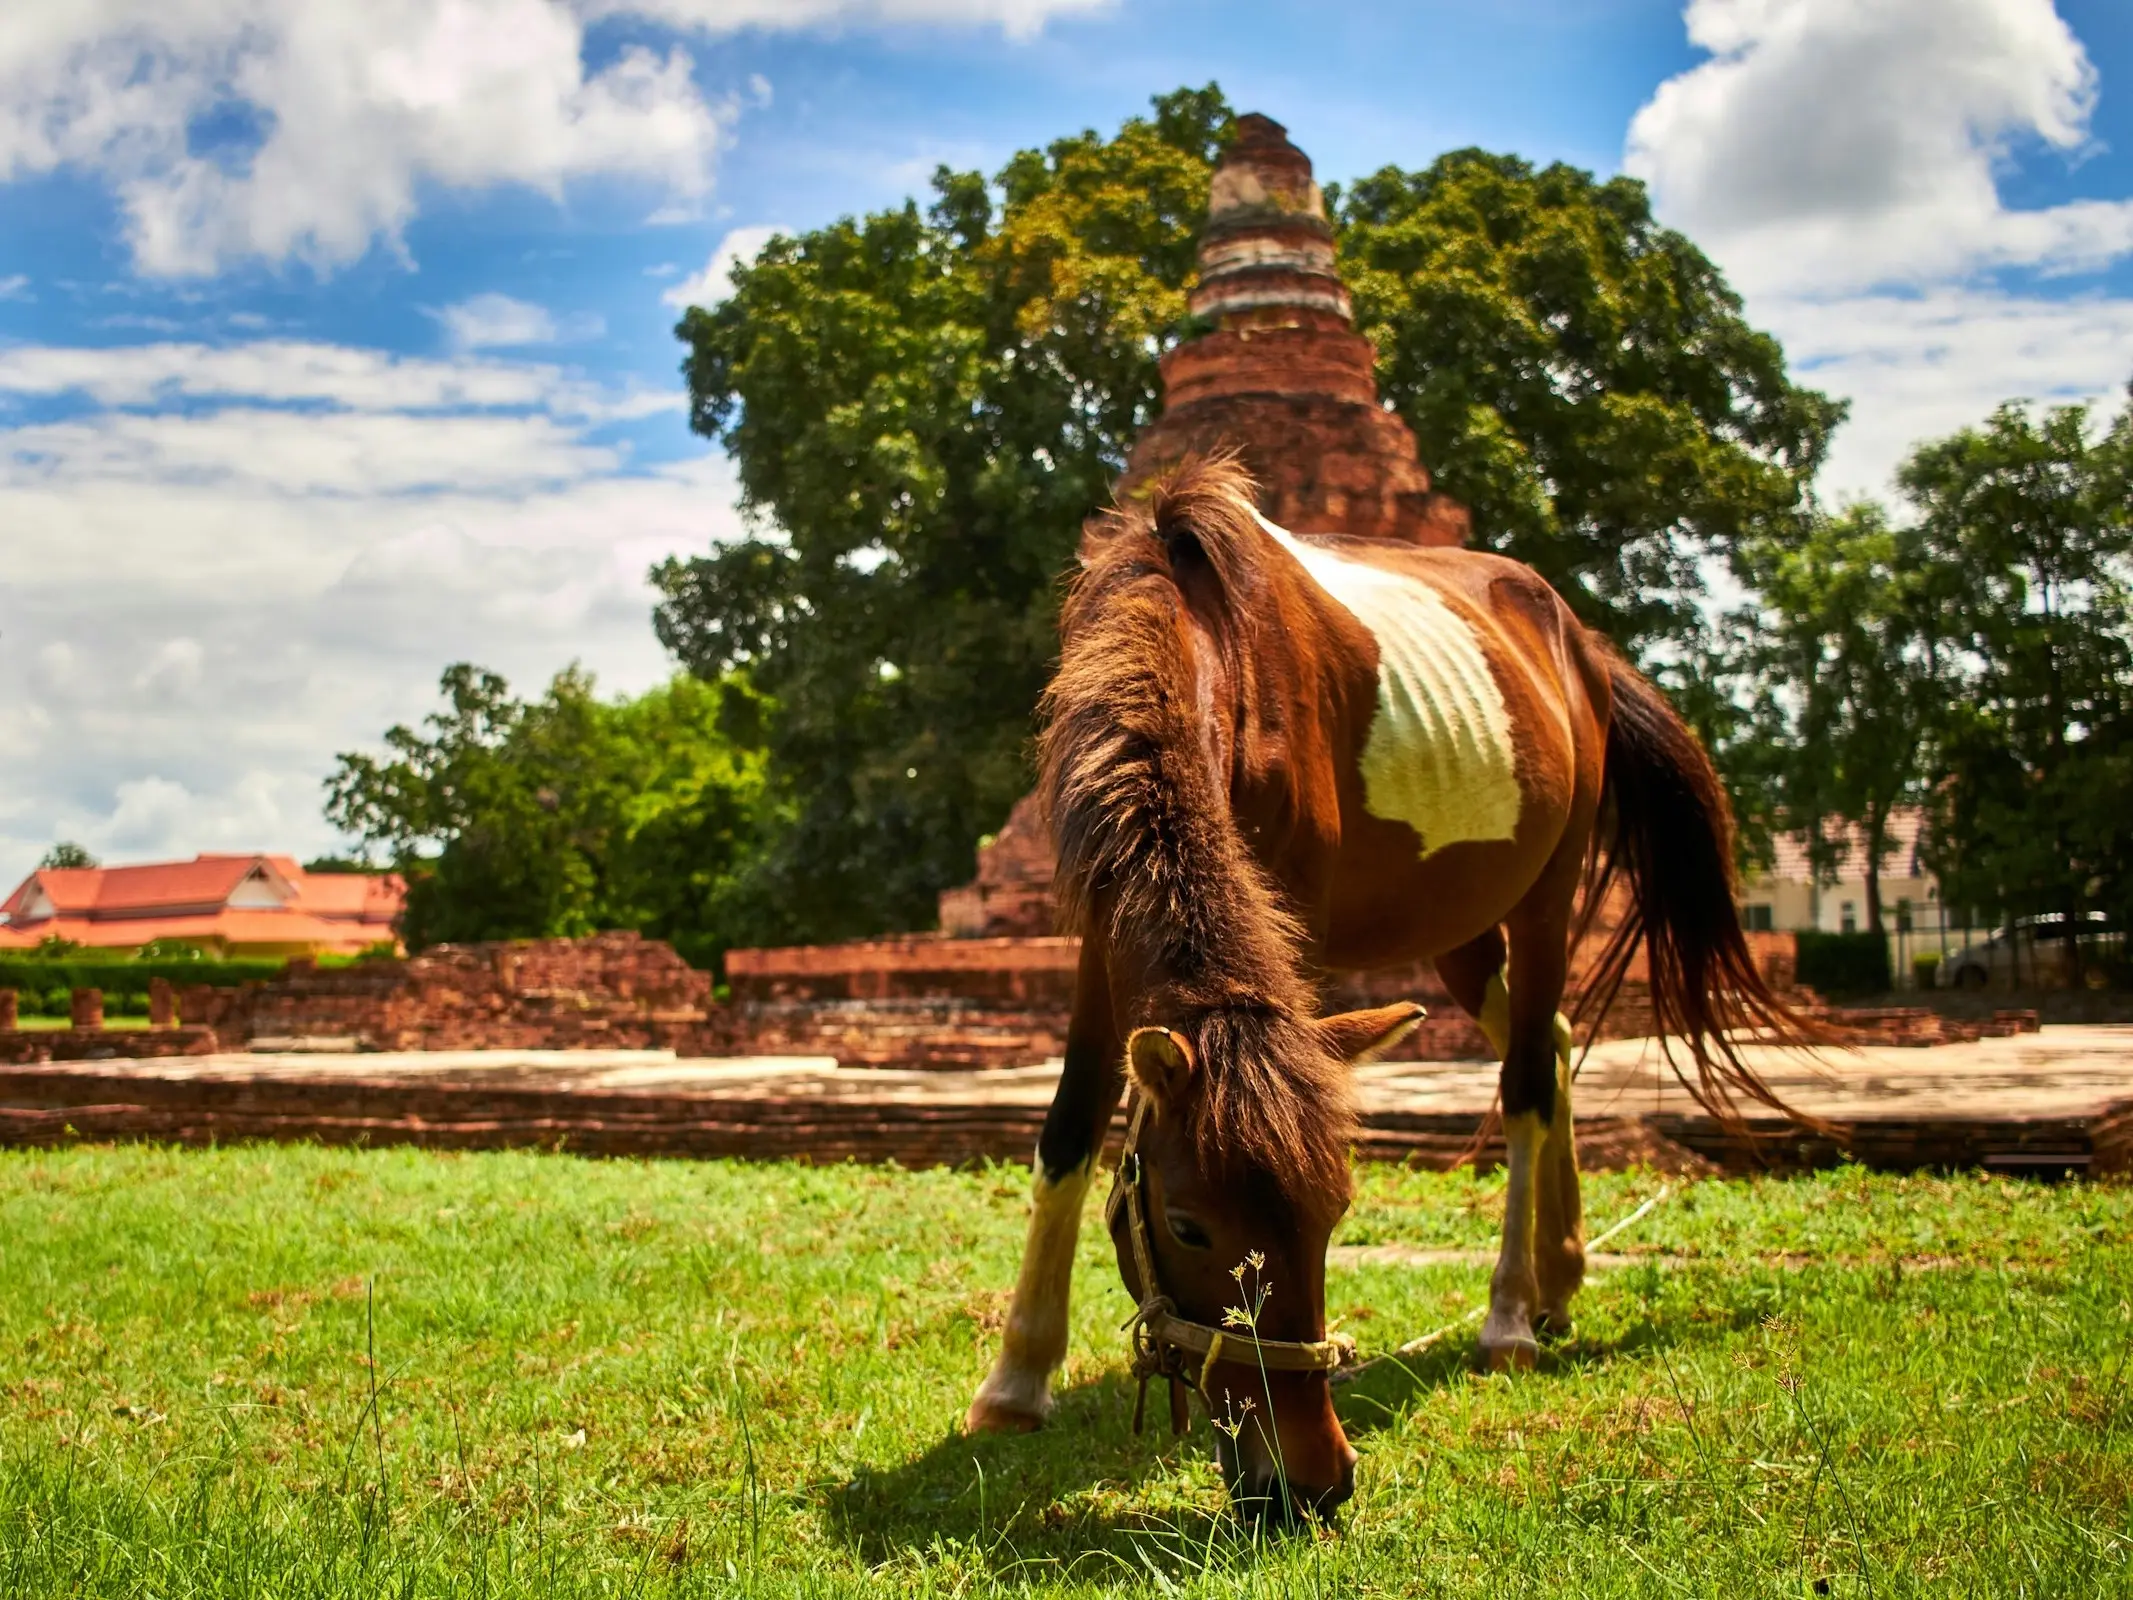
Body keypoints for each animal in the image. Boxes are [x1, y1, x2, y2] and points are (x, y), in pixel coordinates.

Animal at [968, 456, 1817, 1518]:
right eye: (1187, 1225)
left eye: (1335, 1216)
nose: (1308, 1484)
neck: (1201, 639)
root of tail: (1577, 643)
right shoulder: (1101, 925)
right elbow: (1070, 1128)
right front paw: (1015, 1380)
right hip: (1459, 929)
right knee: (1555, 1039)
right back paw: (1559, 1270)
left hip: (1547, 890)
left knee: (1526, 1081)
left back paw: (1509, 1316)